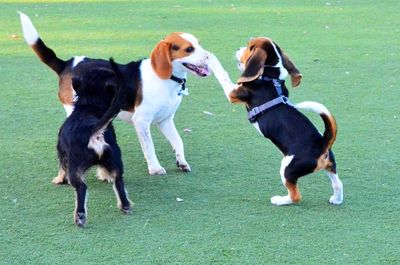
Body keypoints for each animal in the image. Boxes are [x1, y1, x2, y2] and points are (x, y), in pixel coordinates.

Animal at [57, 58, 132, 227]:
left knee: (81, 188)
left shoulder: (63, 155)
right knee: (119, 181)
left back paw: (80, 216)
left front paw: (59, 179)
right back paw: (125, 205)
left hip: (75, 169)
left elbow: (61, 169)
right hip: (115, 159)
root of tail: (92, 129)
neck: (89, 106)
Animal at [206, 37, 344, 205]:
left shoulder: (233, 92)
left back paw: (279, 200)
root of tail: (322, 143)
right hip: (330, 166)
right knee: (338, 183)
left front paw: (210, 58)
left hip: (286, 169)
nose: (238, 48)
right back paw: (336, 199)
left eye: (249, 46)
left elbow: (223, 74)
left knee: (296, 196)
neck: (270, 75)